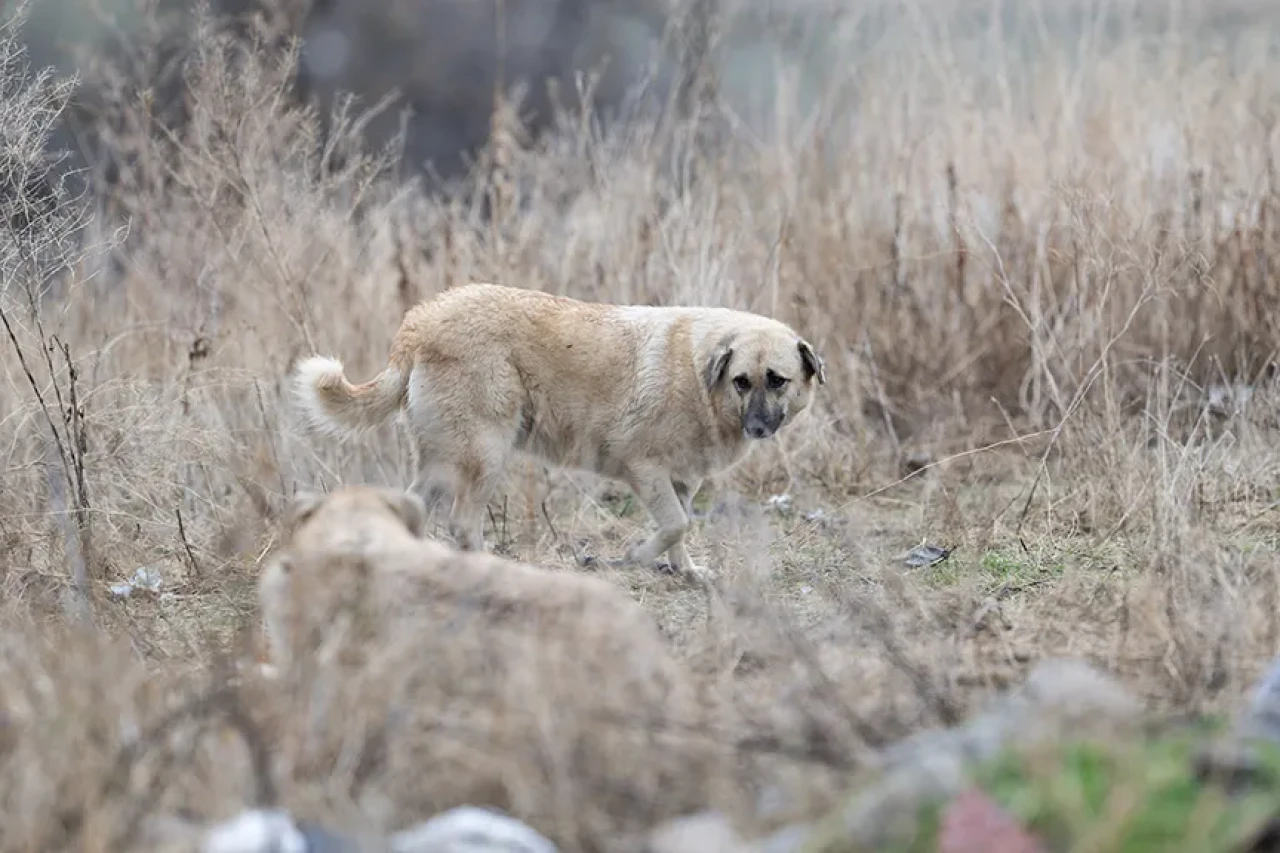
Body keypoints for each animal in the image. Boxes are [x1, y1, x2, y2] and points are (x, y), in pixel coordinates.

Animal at [290, 281, 824, 573]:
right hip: (486, 453)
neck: (699, 373)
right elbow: (675, 525)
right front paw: (635, 555)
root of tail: (420, 321)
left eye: (777, 380)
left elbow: (680, 532)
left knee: (417, 508)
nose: (758, 427)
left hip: (444, 462)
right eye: (742, 381)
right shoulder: (646, 471)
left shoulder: (682, 481)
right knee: (462, 522)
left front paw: (685, 571)